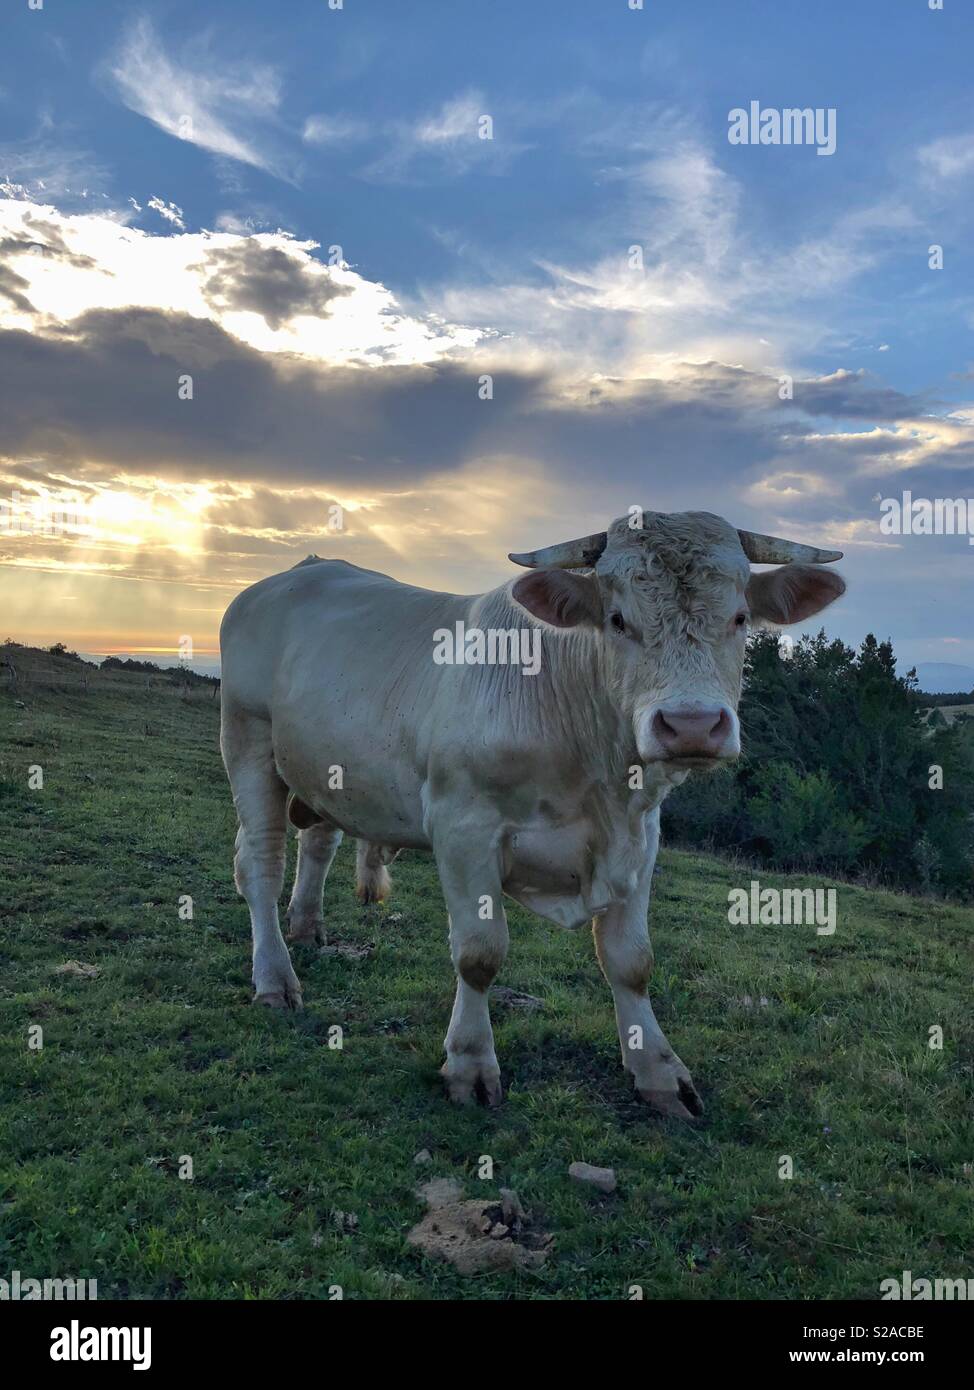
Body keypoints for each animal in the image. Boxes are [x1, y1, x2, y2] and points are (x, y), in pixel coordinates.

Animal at [219, 510, 845, 1119]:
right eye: (617, 619)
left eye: (739, 617)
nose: (691, 724)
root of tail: (297, 571)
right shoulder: (463, 827)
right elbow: (480, 953)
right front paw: (470, 1064)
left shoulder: (641, 836)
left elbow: (631, 960)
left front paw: (659, 1073)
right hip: (247, 740)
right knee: (260, 866)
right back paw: (275, 977)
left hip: (323, 767)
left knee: (318, 842)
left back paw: (307, 927)